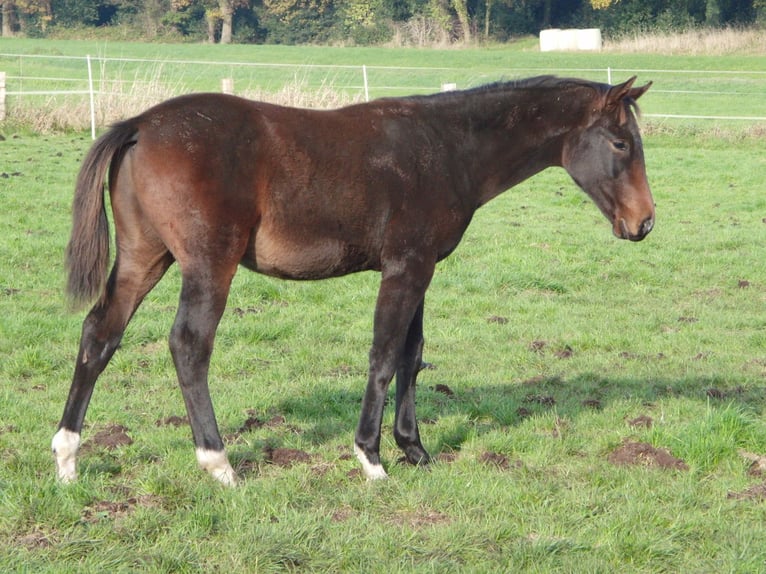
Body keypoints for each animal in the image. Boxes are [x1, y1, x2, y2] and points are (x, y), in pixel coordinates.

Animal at [52, 75, 656, 486]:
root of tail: (138, 125)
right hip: (207, 262)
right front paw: (371, 455)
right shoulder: (406, 267)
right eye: (621, 144)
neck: (448, 147)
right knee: (189, 344)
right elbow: (385, 354)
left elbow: (412, 354)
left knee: (99, 335)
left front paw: (415, 449)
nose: (644, 223)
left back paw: (67, 456)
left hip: (144, 256)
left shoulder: (420, 267)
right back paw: (218, 462)